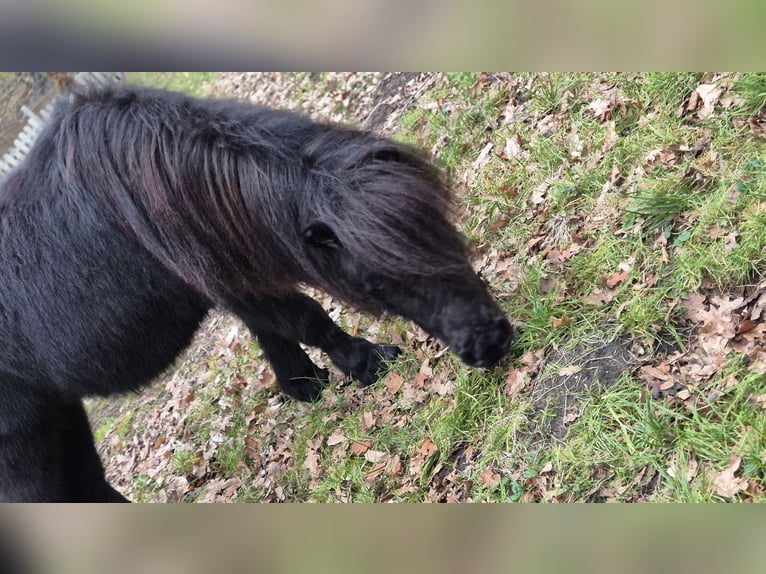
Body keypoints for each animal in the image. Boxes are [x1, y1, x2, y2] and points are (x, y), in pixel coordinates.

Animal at [1, 85, 516, 504]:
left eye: (440, 228)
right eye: (378, 284)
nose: (489, 343)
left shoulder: (235, 276)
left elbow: (276, 326)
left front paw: (305, 382)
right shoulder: (226, 283)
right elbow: (306, 318)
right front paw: (366, 363)